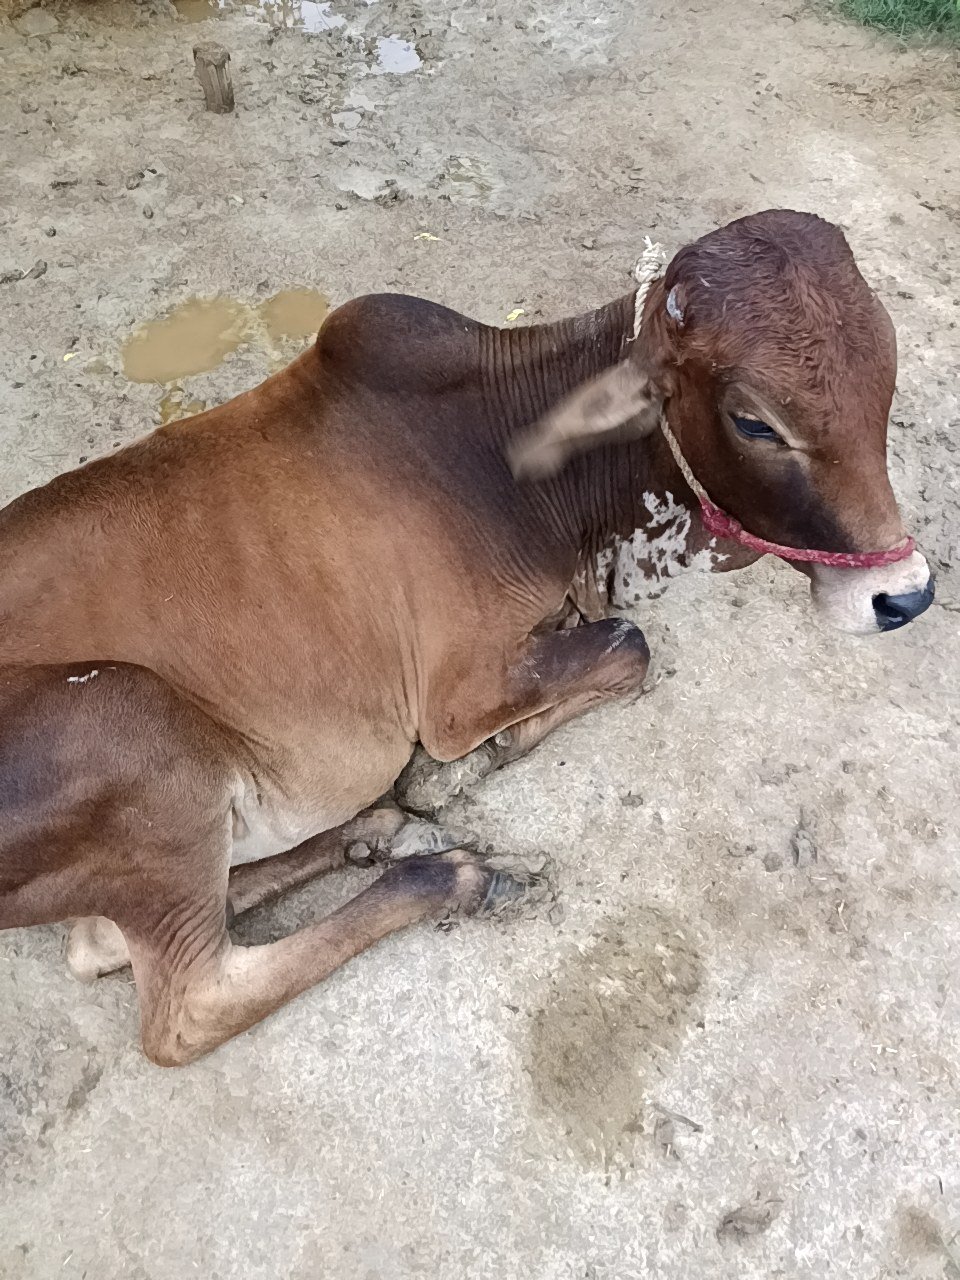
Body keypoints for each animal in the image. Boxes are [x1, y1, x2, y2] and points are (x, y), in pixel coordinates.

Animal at [0, 210, 933, 1065]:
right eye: (755, 422)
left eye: (885, 376)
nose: (906, 596)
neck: (502, 460)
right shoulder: (457, 693)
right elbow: (629, 647)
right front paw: (464, 770)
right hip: (132, 723)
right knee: (188, 1008)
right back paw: (447, 874)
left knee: (109, 941)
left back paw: (370, 831)